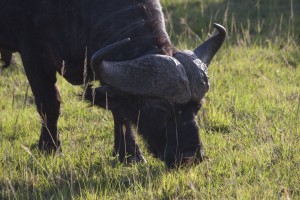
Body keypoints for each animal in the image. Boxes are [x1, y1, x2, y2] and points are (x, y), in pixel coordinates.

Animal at [0, 0, 225, 167]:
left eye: (198, 106)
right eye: (160, 108)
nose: (190, 156)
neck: (73, 11)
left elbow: (119, 111)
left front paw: (129, 154)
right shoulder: (33, 53)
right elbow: (49, 104)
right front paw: (51, 148)